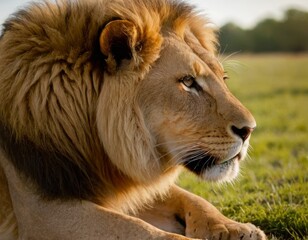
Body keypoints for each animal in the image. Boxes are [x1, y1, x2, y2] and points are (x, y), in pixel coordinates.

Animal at [0, 0, 266, 239]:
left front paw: (234, 228)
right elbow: (144, 230)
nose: (249, 130)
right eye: (188, 82)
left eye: (224, 78)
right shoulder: (42, 214)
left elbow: (192, 198)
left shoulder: (120, 185)